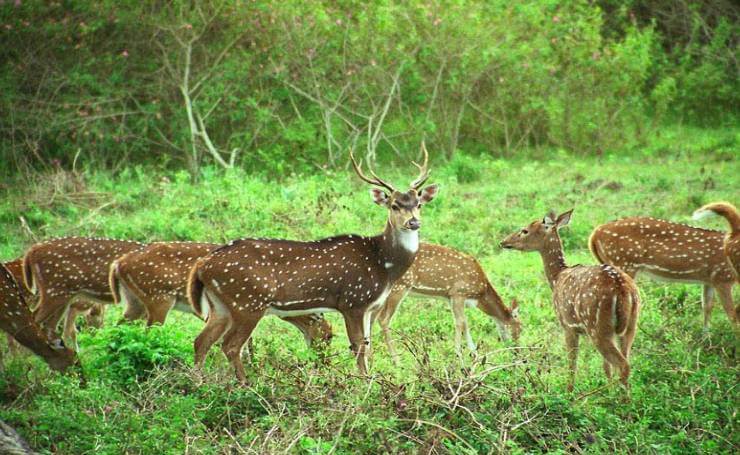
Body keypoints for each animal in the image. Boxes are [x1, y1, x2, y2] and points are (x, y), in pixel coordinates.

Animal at [108, 242, 330, 346]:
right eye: (329, 336)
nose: (322, 362)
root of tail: (118, 264)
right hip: (159, 297)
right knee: (149, 331)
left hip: (135, 302)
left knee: (119, 325)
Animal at [188, 146, 440, 382]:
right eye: (394, 205)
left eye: (419, 203)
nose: (413, 222)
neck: (383, 266)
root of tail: (202, 265)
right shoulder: (352, 301)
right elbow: (358, 347)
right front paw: (363, 384)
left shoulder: (371, 306)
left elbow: (368, 347)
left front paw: (370, 380)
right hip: (248, 301)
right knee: (230, 345)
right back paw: (244, 384)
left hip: (220, 304)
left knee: (201, 341)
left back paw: (199, 382)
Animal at [370, 244, 520, 362]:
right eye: (519, 328)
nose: (517, 351)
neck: (480, 294)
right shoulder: (458, 292)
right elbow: (461, 322)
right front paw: (460, 356)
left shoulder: (450, 297)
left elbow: (464, 323)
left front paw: (474, 354)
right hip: (400, 285)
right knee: (384, 319)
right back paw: (396, 360)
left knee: (372, 318)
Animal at [502, 210, 640, 392]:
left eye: (525, 230)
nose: (504, 242)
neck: (557, 277)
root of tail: (623, 289)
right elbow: (605, 367)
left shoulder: (567, 325)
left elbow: (571, 364)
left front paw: (569, 392)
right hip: (630, 324)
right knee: (623, 361)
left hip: (598, 326)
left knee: (622, 365)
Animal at [588, 216, 736, 332]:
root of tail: (594, 234)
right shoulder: (723, 277)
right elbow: (732, 313)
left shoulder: (709, 280)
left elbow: (707, 306)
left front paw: (706, 337)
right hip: (624, 263)